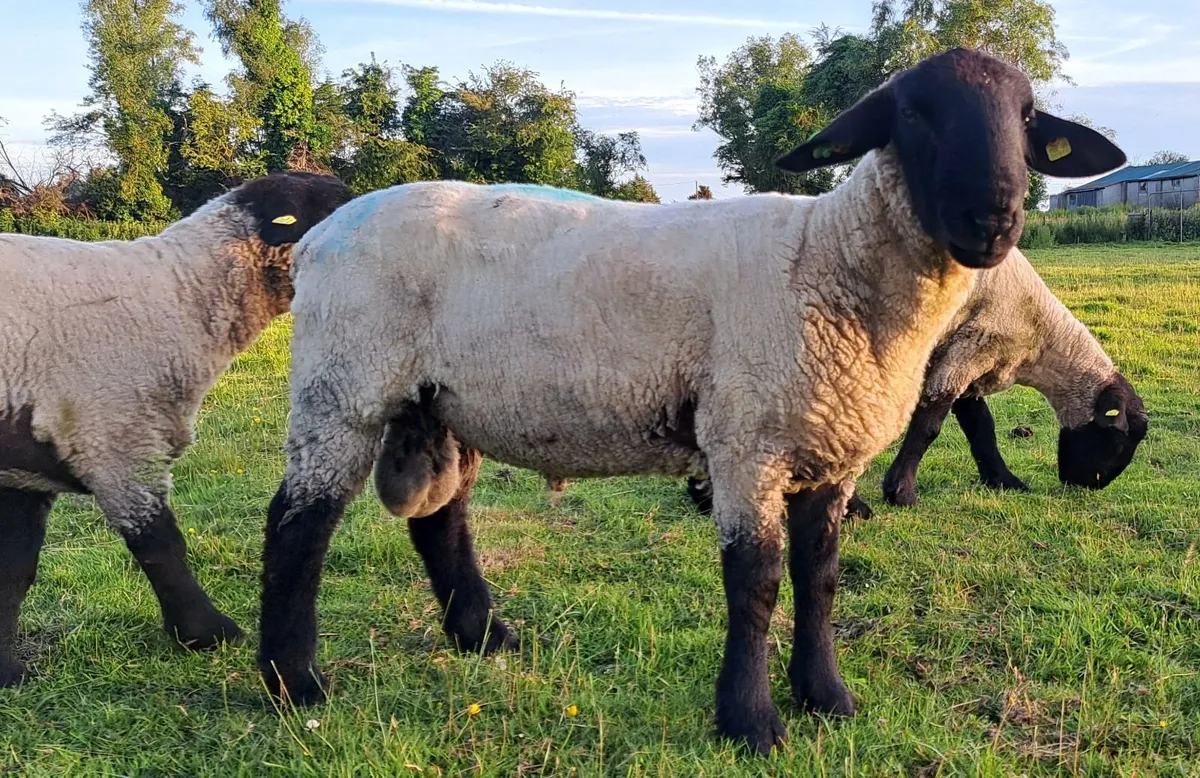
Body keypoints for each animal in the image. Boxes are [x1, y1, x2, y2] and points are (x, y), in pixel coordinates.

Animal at [0, 172, 352, 687]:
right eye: (333, 212)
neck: (182, 297)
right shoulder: (116, 437)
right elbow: (162, 545)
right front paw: (207, 634)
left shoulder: (26, 467)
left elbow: (14, 570)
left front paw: (6, 672)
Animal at [684, 246, 1149, 514]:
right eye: (1120, 439)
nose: (1087, 486)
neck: (1039, 338)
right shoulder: (975, 345)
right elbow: (930, 424)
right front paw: (901, 493)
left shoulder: (962, 351)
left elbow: (980, 426)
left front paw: (1003, 480)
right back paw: (851, 507)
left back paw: (707, 494)